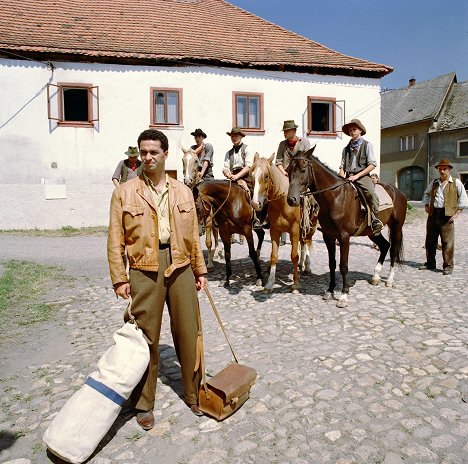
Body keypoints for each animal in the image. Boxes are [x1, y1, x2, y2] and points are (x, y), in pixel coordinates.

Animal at [250, 155, 320, 294]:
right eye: (252, 175)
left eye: (266, 176)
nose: (255, 203)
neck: (282, 203)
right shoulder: (275, 230)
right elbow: (274, 256)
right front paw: (269, 283)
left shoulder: (295, 230)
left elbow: (294, 256)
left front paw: (295, 284)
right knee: (303, 243)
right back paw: (301, 264)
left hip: (311, 226)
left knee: (307, 242)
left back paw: (307, 266)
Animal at [286, 147, 406, 306]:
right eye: (288, 170)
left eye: (303, 169)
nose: (291, 200)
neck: (335, 197)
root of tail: (398, 192)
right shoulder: (329, 236)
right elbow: (332, 263)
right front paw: (330, 291)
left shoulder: (344, 237)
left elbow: (343, 265)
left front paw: (343, 295)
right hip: (372, 232)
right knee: (385, 245)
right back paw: (375, 277)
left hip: (396, 228)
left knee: (393, 250)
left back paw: (390, 280)